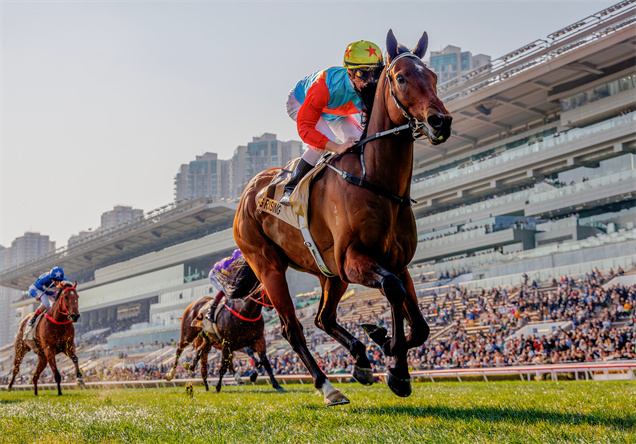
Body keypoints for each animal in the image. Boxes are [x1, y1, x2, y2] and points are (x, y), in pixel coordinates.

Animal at [235, 30, 452, 406]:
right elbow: (393, 290)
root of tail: (248, 193)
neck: (375, 180)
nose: (441, 121)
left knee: (323, 317)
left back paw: (361, 359)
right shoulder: (353, 259)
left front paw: (385, 347)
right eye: (401, 77)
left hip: (328, 272)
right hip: (269, 266)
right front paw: (395, 365)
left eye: (434, 76)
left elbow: (420, 324)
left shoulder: (397, 262)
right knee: (292, 328)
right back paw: (327, 386)